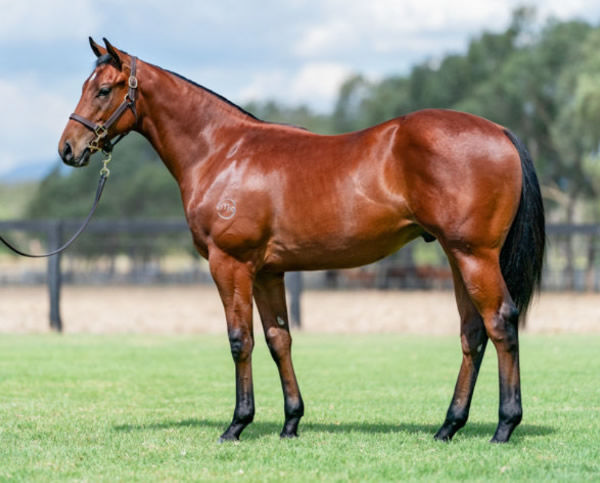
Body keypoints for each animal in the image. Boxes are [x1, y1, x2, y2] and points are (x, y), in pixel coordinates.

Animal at [59, 39, 544, 444]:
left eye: (104, 90)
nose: (68, 148)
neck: (223, 152)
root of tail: (500, 132)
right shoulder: (268, 272)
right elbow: (279, 340)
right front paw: (291, 422)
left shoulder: (229, 263)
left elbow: (240, 340)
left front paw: (237, 424)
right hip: (456, 256)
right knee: (472, 333)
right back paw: (448, 426)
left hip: (474, 255)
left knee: (500, 323)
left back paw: (504, 426)